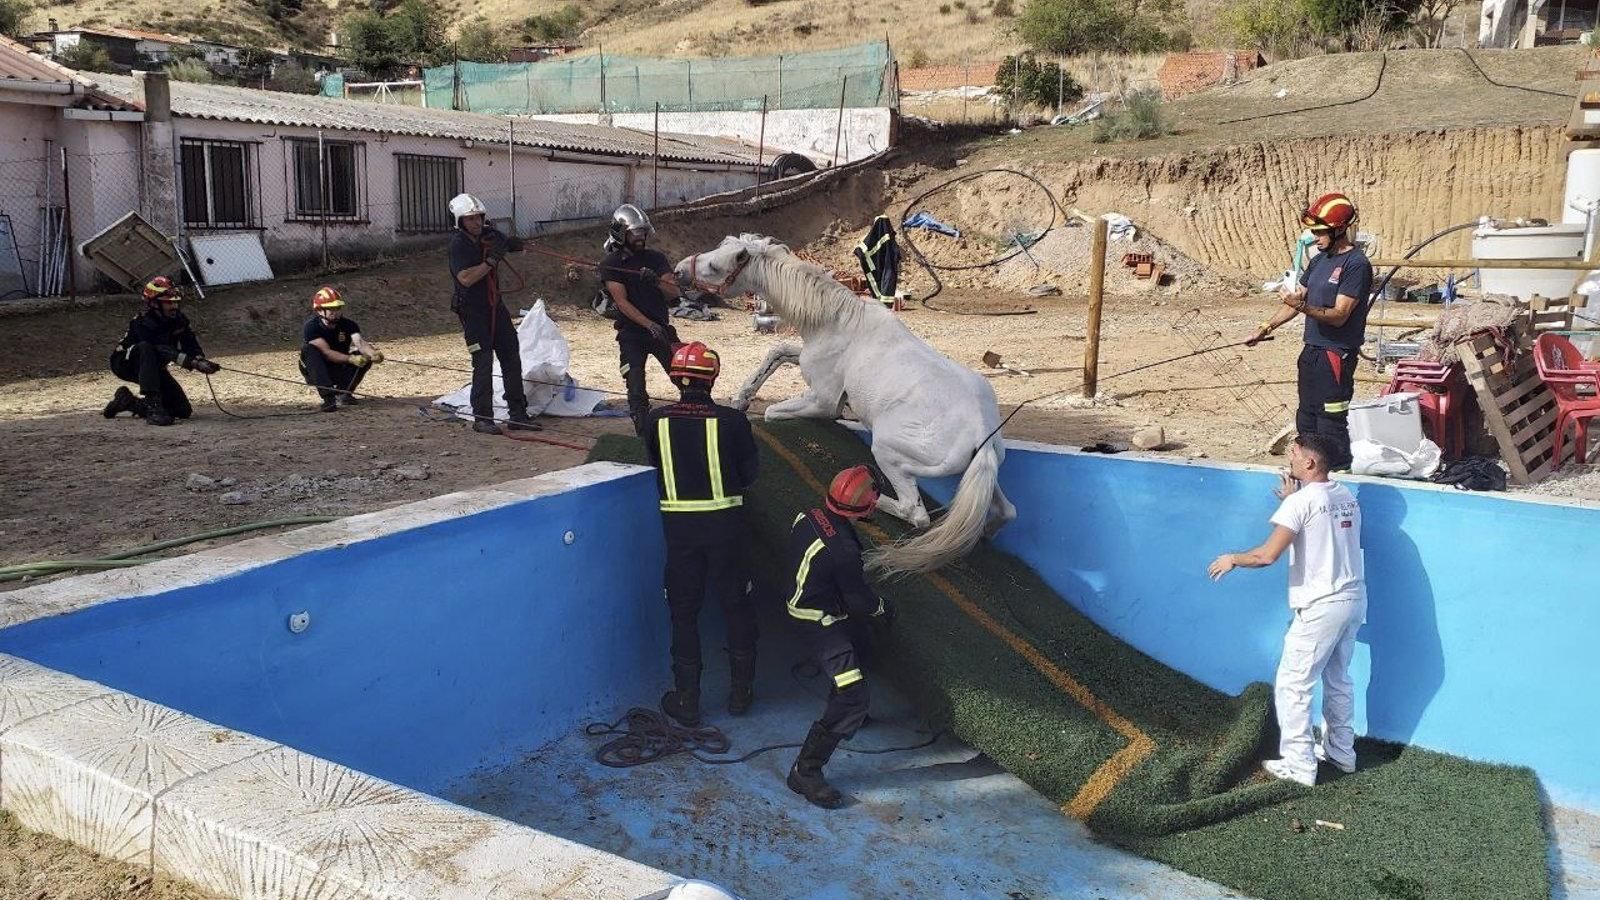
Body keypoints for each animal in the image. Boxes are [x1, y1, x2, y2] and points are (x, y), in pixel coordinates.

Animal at [675, 234, 1015, 575]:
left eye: (715, 265)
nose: (677, 271)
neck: (835, 320)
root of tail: (980, 435)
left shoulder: (824, 402)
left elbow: (772, 412)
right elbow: (777, 351)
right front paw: (743, 396)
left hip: (887, 451)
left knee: (915, 513)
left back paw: (869, 500)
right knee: (1006, 511)